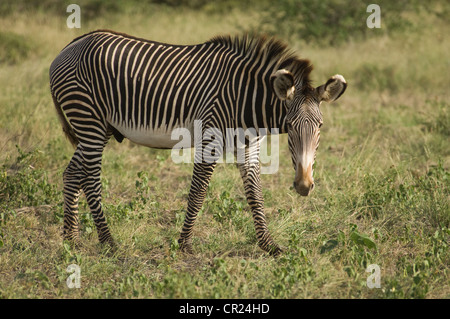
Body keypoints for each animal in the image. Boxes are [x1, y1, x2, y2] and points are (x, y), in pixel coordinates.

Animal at [51, 28, 348, 256]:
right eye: (291, 126)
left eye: (320, 127)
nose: (304, 186)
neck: (246, 98)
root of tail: (69, 47)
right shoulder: (210, 138)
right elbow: (198, 191)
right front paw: (184, 244)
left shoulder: (249, 146)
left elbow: (255, 193)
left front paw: (269, 245)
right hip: (89, 119)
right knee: (90, 178)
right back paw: (108, 242)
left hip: (97, 128)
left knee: (72, 173)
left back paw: (71, 240)